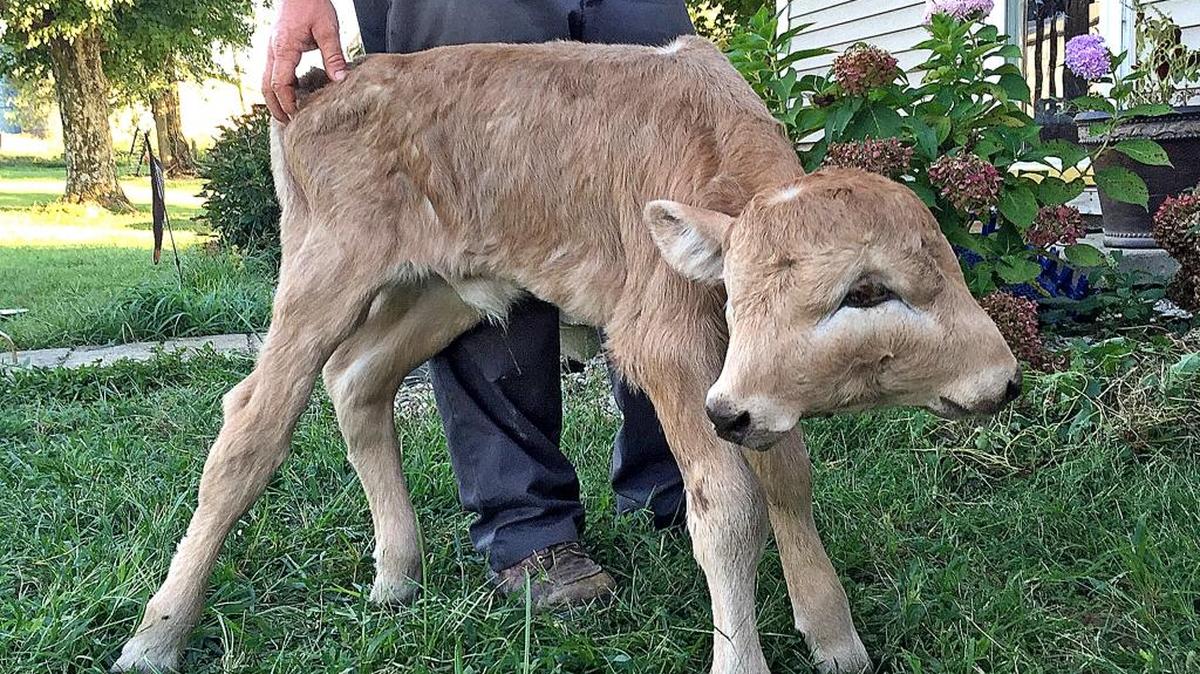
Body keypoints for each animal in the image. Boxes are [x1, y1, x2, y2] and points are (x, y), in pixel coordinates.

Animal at [114, 35, 1021, 674]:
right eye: (867, 292)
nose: (1006, 377)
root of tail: (319, 86)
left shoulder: (751, 385)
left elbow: (787, 478)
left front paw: (835, 638)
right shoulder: (667, 347)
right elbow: (729, 506)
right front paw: (746, 655)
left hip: (443, 288)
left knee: (358, 378)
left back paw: (396, 574)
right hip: (323, 268)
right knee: (251, 425)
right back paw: (156, 636)